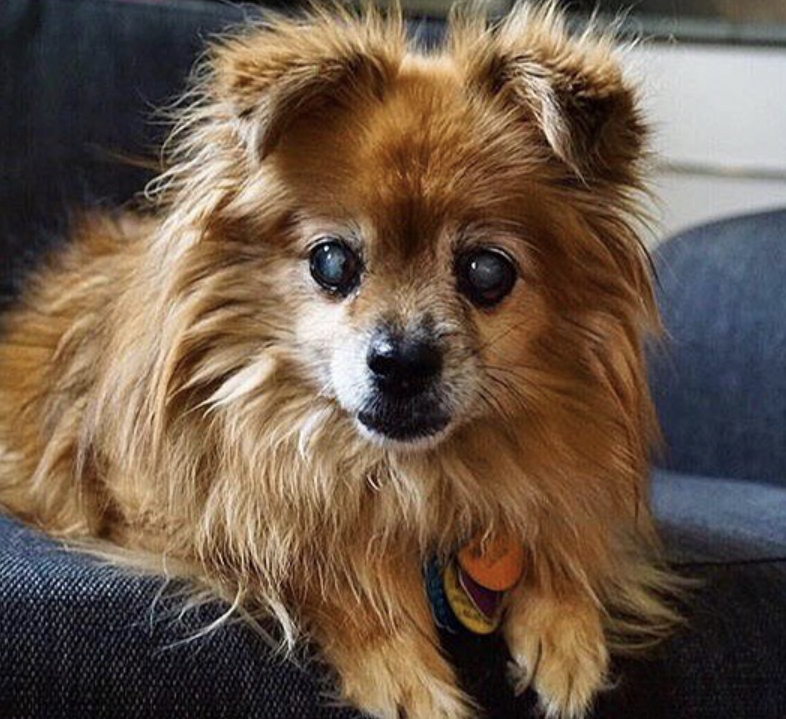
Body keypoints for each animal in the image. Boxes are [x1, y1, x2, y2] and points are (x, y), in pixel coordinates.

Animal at [0, 2, 672, 716]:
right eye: (331, 262)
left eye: (487, 272)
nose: (402, 361)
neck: (406, 480)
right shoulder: (161, 517)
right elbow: (313, 562)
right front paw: (403, 669)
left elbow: (560, 530)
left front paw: (564, 628)